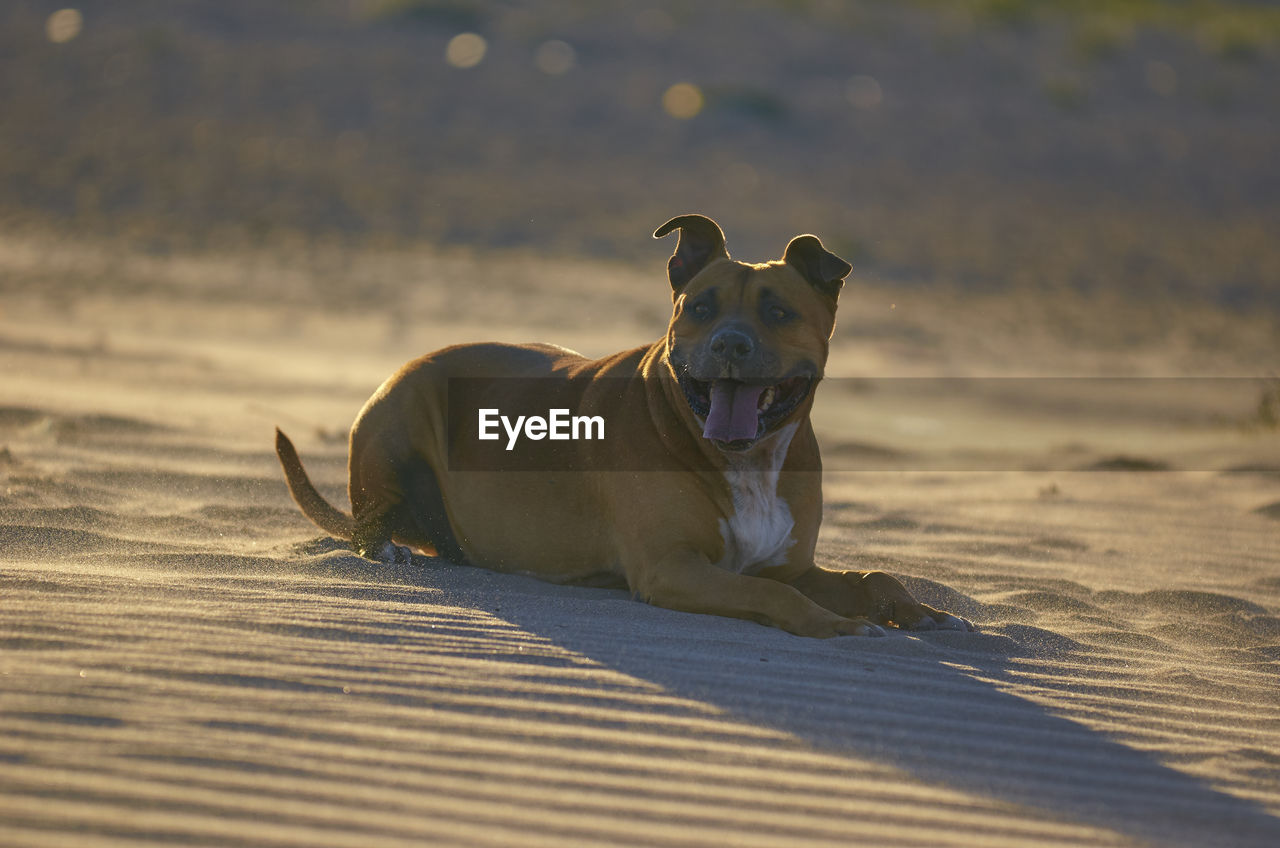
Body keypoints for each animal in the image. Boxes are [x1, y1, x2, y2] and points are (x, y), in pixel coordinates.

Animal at [277, 213, 967, 637]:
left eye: (778, 311)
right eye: (700, 307)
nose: (730, 345)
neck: (747, 460)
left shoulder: (789, 565)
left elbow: (868, 575)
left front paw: (921, 612)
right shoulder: (673, 568)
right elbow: (774, 597)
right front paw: (831, 624)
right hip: (391, 426)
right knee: (370, 526)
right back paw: (388, 548)